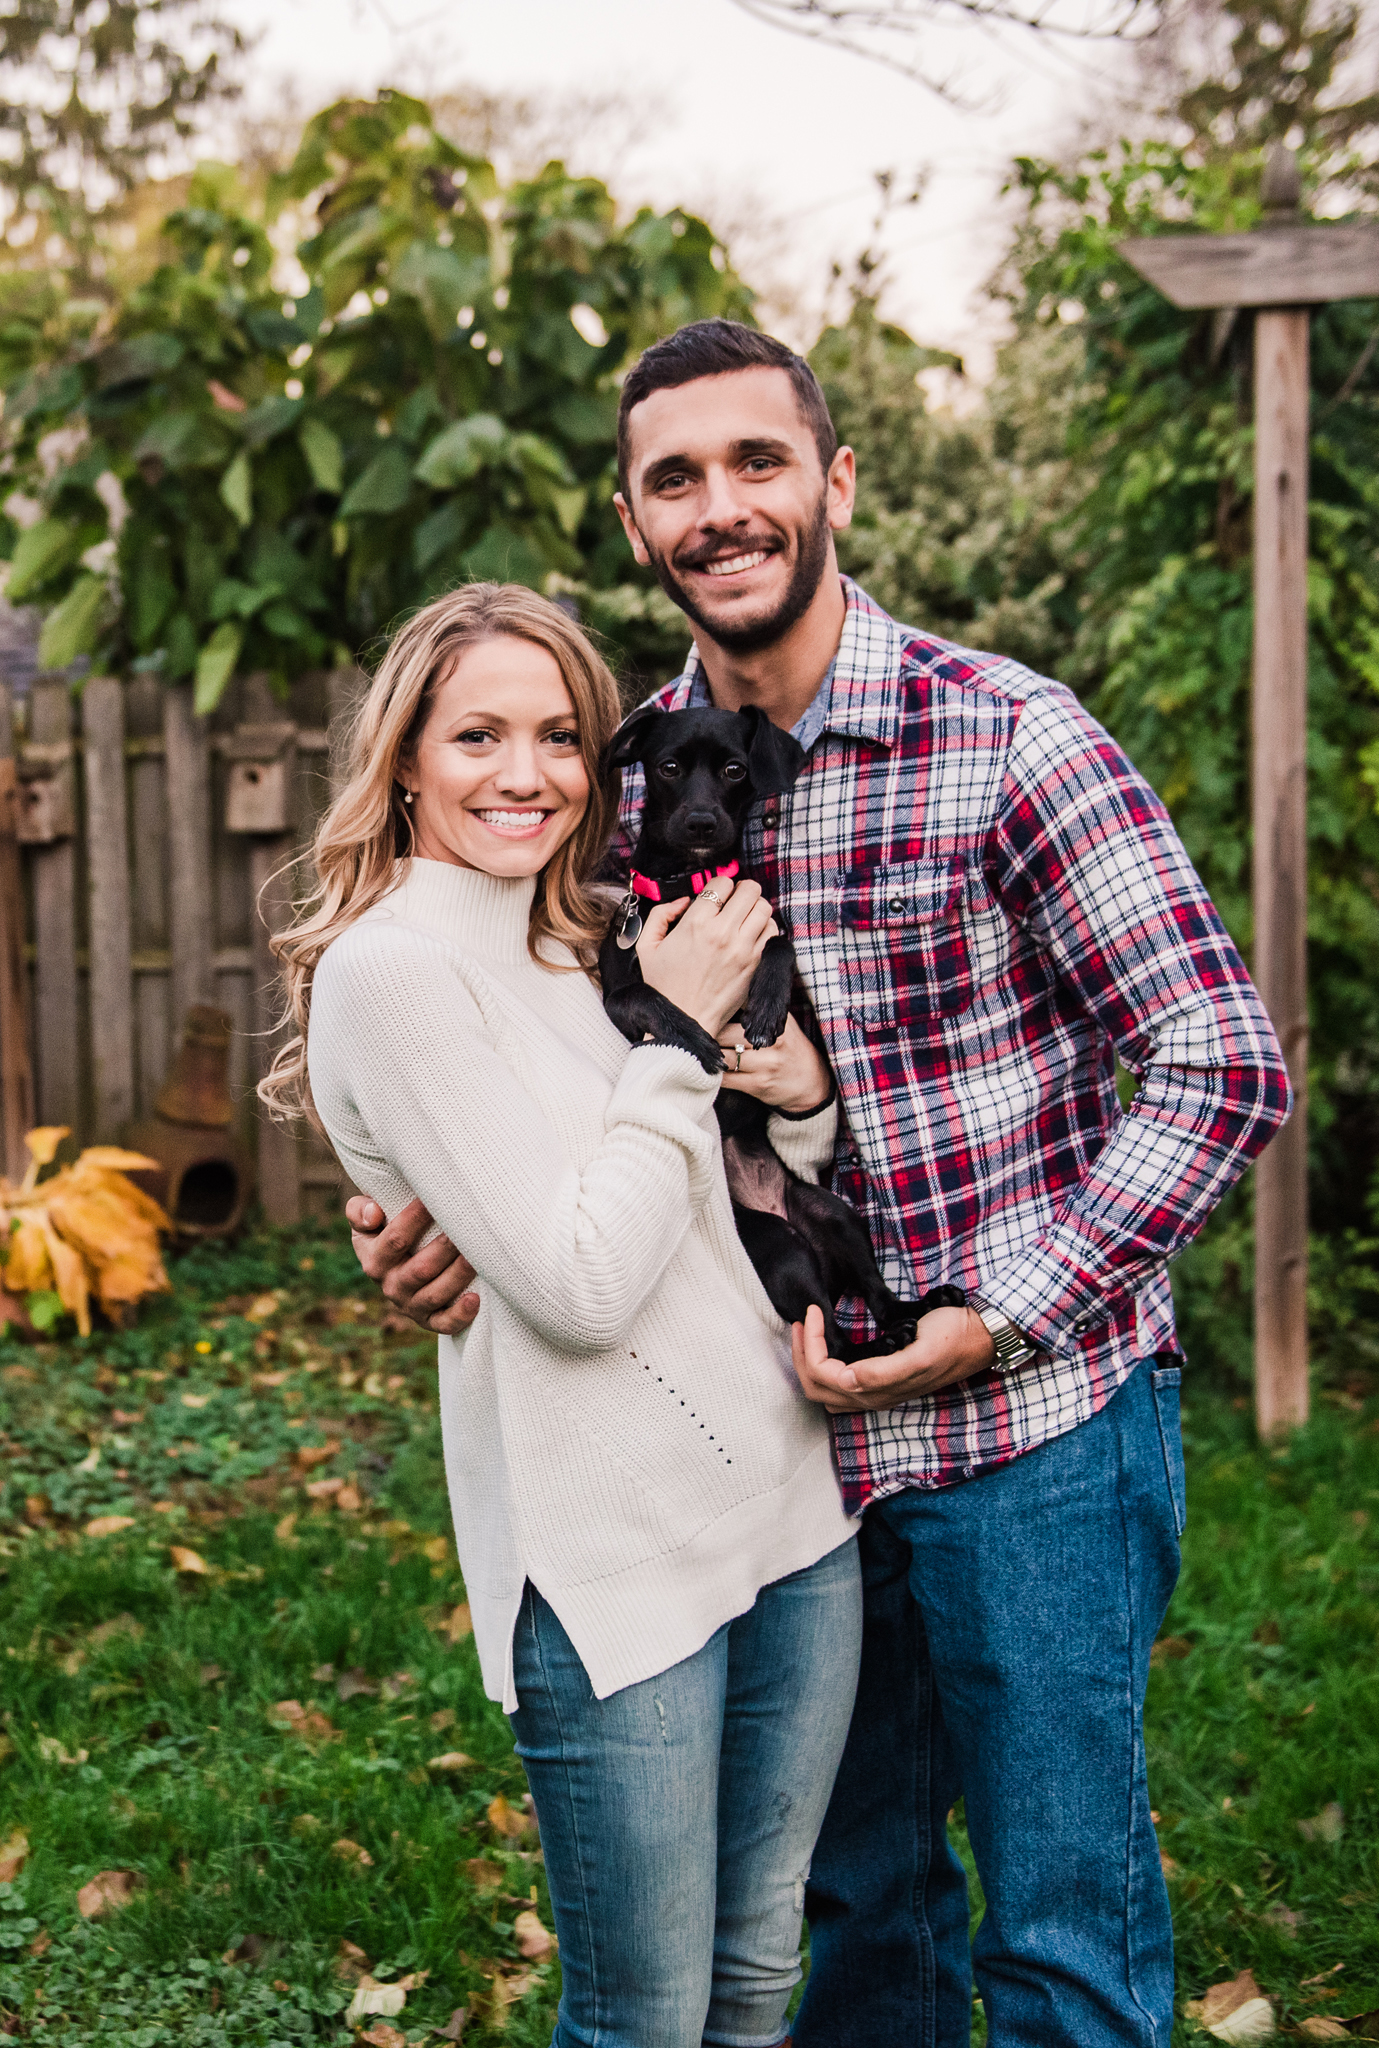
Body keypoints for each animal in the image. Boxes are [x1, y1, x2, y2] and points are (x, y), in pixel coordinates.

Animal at [598, 712, 963, 1368]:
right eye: (668, 767)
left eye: (734, 769)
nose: (702, 822)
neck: (690, 888)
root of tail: (773, 1207)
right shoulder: (617, 993)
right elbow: (642, 996)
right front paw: (694, 1033)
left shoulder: (772, 939)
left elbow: (780, 945)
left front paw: (764, 1008)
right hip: (777, 1249)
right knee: (832, 1341)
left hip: (833, 1215)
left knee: (865, 1308)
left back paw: (914, 1314)